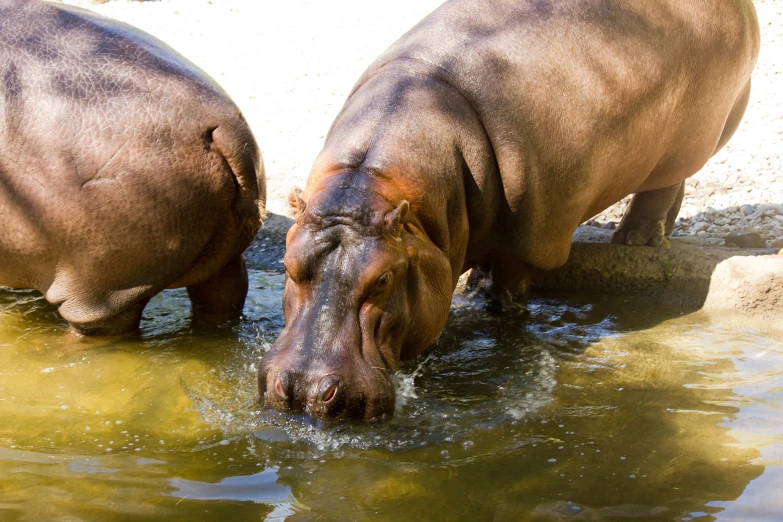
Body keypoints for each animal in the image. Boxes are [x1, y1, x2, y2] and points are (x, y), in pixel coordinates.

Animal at [262, 0, 760, 418]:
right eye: (287, 264)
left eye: (383, 278)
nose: (305, 390)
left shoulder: (529, 243)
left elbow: (507, 299)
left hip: (685, 142)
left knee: (664, 185)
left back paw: (635, 239)